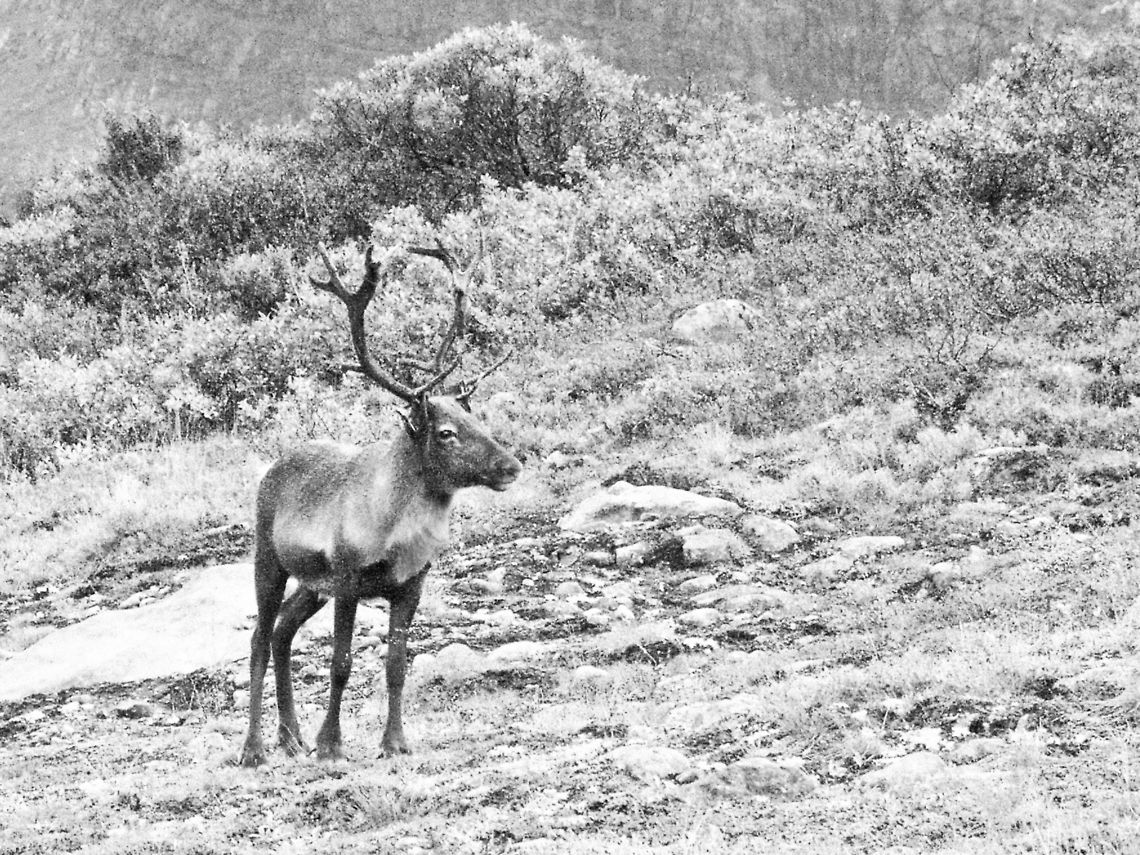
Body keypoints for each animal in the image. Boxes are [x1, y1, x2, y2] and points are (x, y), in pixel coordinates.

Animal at [239, 241, 522, 767]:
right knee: (259, 640)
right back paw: (255, 748)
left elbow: (396, 665)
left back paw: (291, 736)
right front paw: (332, 745)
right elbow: (341, 663)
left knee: (283, 632)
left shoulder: (410, 586)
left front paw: (394, 743)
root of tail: (273, 467)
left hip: (313, 584)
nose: (511, 466)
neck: (395, 533)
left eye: (477, 419)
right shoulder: (348, 578)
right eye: (446, 432)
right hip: (269, 559)